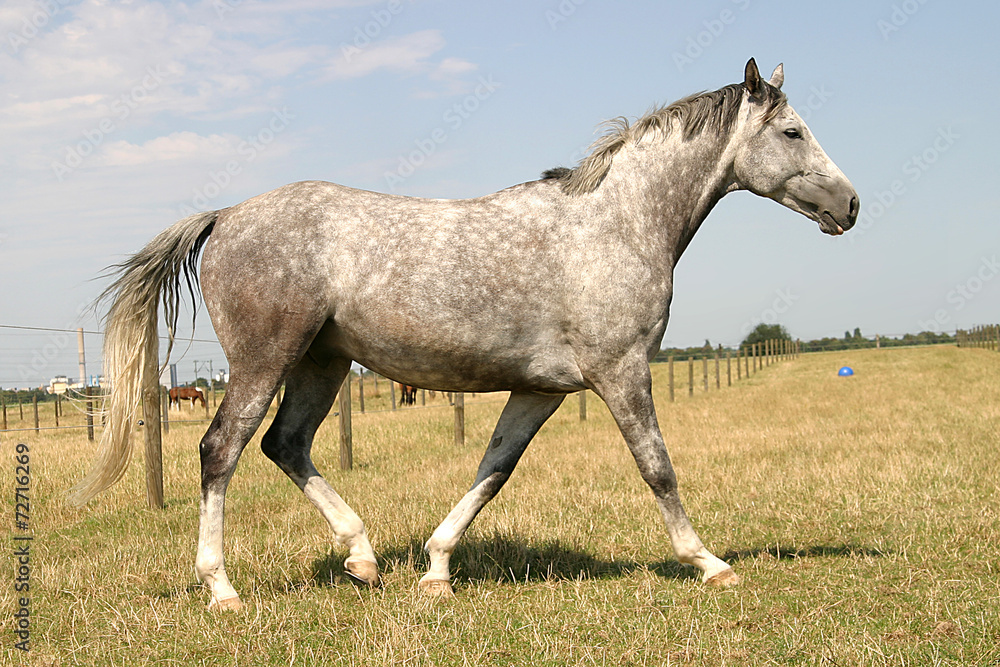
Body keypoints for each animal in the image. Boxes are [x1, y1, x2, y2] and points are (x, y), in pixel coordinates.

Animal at [69, 60, 857, 610]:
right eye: (792, 132)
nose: (850, 204)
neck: (615, 223)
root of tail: (227, 214)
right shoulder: (622, 371)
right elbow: (657, 468)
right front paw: (711, 564)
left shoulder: (541, 389)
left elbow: (492, 470)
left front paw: (437, 568)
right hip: (265, 360)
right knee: (221, 451)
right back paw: (223, 588)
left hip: (322, 363)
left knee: (285, 445)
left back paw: (363, 558)